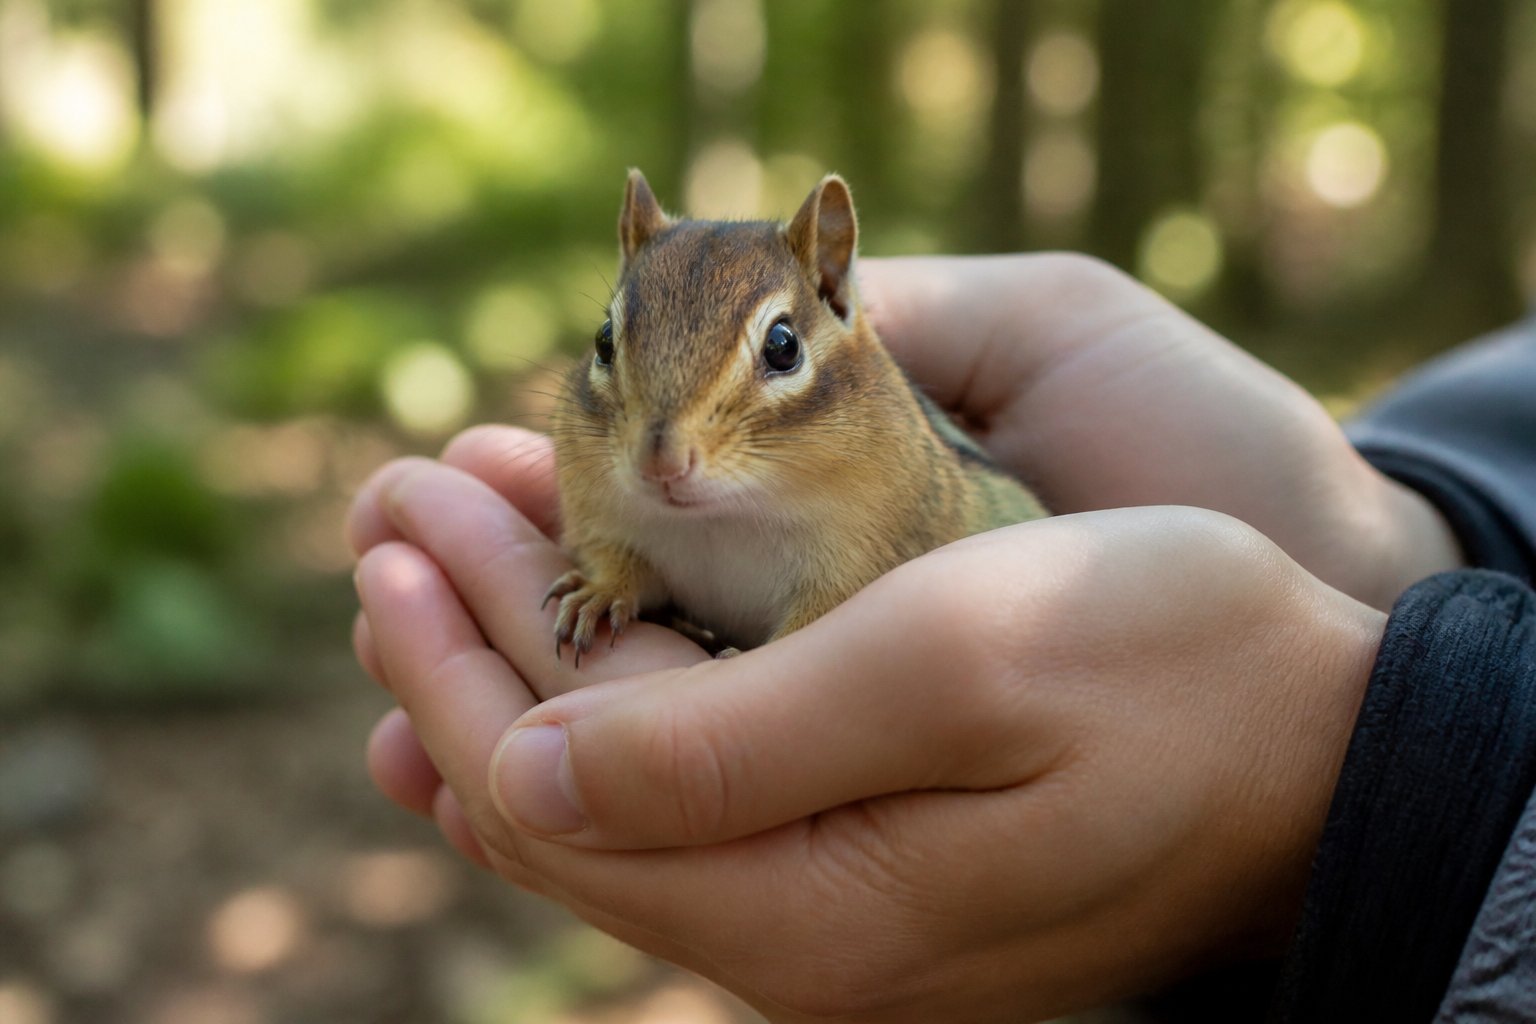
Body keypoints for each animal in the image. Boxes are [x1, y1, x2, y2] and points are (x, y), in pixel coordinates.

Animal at [545, 170, 1047, 661]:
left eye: (783, 346)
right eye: (603, 341)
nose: (660, 464)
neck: (726, 516)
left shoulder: (862, 557)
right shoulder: (603, 522)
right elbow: (621, 565)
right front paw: (598, 592)